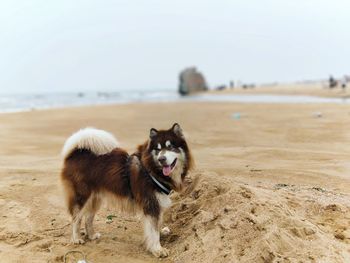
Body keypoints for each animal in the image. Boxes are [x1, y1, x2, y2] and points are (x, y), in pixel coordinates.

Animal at [59, 125, 191, 258]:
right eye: (157, 149)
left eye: (170, 147)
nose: (161, 159)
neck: (152, 170)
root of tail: (75, 153)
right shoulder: (151, 205)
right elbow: (153, 230)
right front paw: (157, 249)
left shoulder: (157, 203)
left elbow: (157, 224)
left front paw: (160, 235)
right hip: (82, 196)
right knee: (76, 218)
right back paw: (76, 238)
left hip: (95, 198)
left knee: (88, 218)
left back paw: (91, 235)